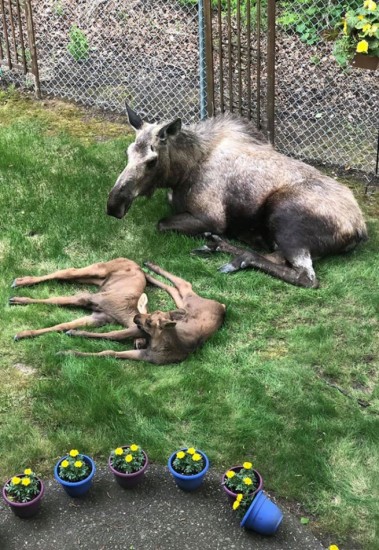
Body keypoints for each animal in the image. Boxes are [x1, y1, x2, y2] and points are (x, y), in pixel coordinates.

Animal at [10, 258, 147, 340]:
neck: (122, 313)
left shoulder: (99, 317)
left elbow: (63, 325)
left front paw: (23, 334)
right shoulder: (91, 298)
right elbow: (56, 300)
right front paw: (18, 300)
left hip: (97, 279)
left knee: (69, 276)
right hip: (101, 269)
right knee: (67, 272)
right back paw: (20, 282)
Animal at [63, 264, 227, 366]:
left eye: (150, 322)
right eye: (151, 313)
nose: (136, 318)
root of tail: (223, 307)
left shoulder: (146, 355)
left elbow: (110, 349)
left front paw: (69, 349)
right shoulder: (140, 334)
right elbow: (113, 335)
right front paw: (72, 338)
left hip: (187, 303)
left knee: (179, 286)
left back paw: (148, 271)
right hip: (186, 303)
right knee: (179, 285)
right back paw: (148, 269)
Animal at [107, 105, 368, 292]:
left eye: (152, 161)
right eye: (127, 152)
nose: (113, 205)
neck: (181, 173)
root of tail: (359, 230)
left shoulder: (212, 217)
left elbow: (161, 223)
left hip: (284, 217)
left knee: (306, 277)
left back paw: (233, 252)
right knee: (278, 257)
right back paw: (222, 246)